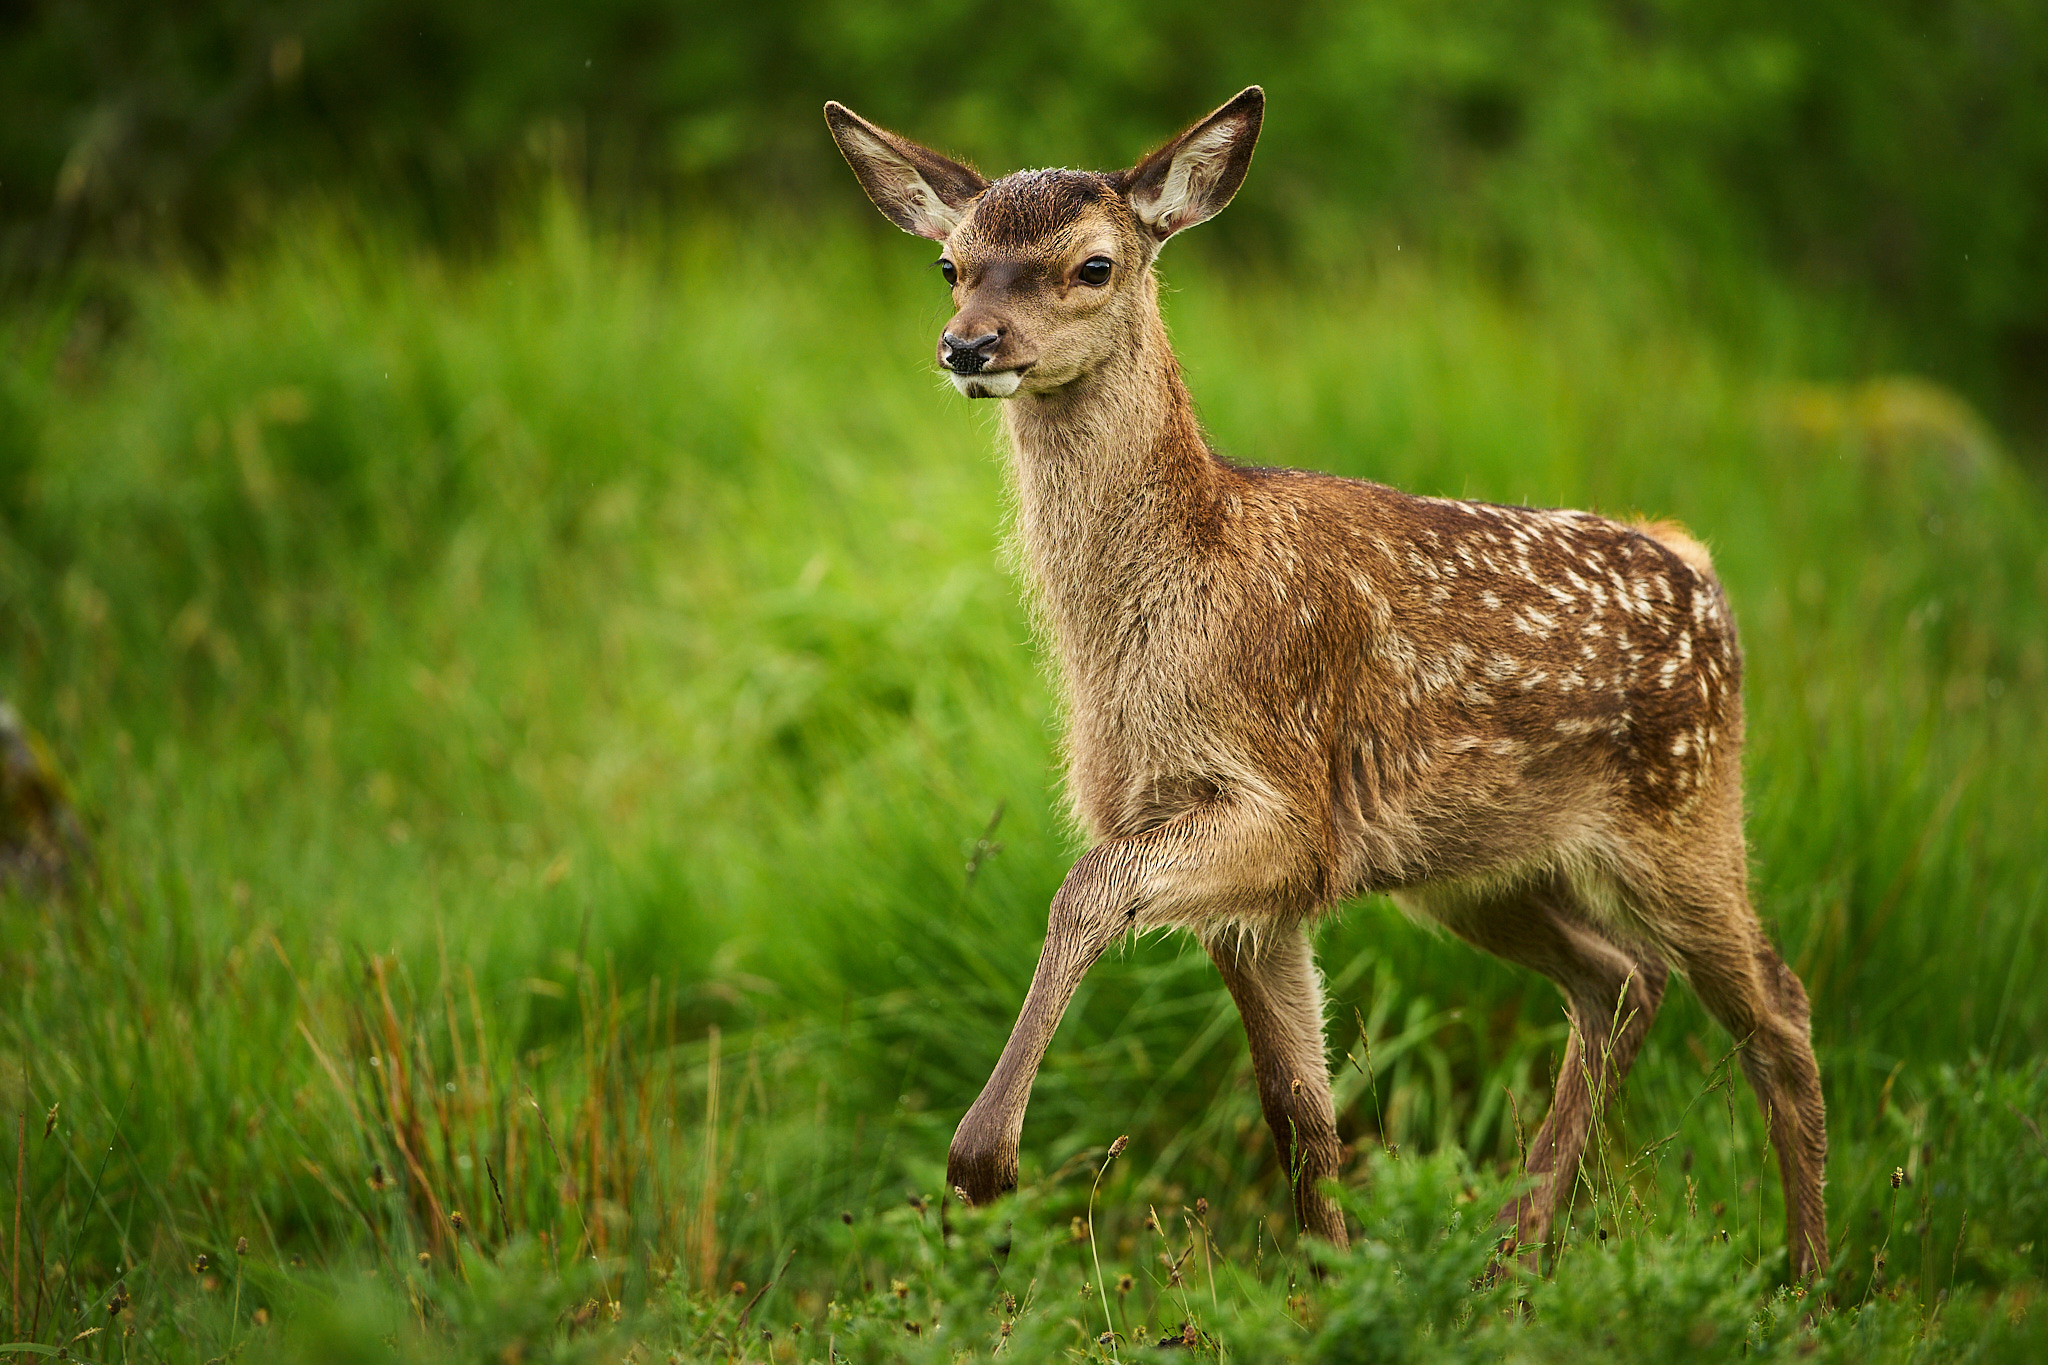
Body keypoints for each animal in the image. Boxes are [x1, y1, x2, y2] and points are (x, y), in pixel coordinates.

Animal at [825, 86, 1828, 1280]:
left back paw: (1806, 1280)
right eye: (950, 263)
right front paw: (1325, 1286)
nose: (969, 343)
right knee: (1621, 976)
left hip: (1684, 809)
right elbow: (1298, 1109)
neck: (1160, 617)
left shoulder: (1289, 810)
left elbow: (1086, 887)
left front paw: (984, 1159)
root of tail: (1700, 569)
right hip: (1474, 863)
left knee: (1775, 1008)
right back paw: (1512, 1248)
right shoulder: (1250, 889)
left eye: (1093, 265)